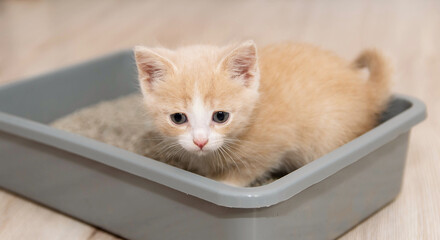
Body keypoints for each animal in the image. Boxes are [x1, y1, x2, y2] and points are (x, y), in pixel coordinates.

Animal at [132, 41, 390, 187]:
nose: (200, 141)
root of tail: (367, 91)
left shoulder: (273, 146)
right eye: (178, 118)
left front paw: (223, 183)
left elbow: (243, 173)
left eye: (220, 116)